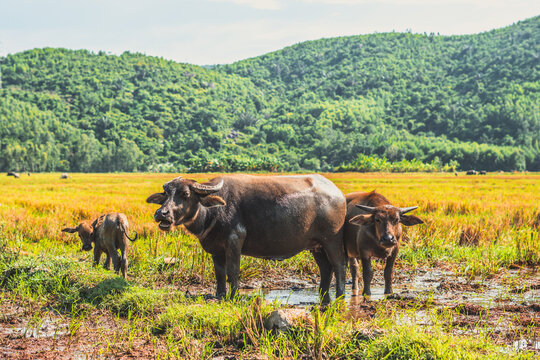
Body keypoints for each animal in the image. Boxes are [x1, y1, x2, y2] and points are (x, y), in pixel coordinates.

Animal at [147, 174, 346, 304]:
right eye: (166, 194)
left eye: (186, 194)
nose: (161, 214)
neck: (213, 211)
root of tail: (338, 194)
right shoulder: (216, 250)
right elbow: (219, 273)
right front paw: (220, 295)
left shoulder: (234, 240)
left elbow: (233, 270)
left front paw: (233, 296)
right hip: (316, 246)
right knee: (325, 269)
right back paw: (323, 296)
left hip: (332, 240)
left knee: (338, 266)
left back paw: (340, 295)